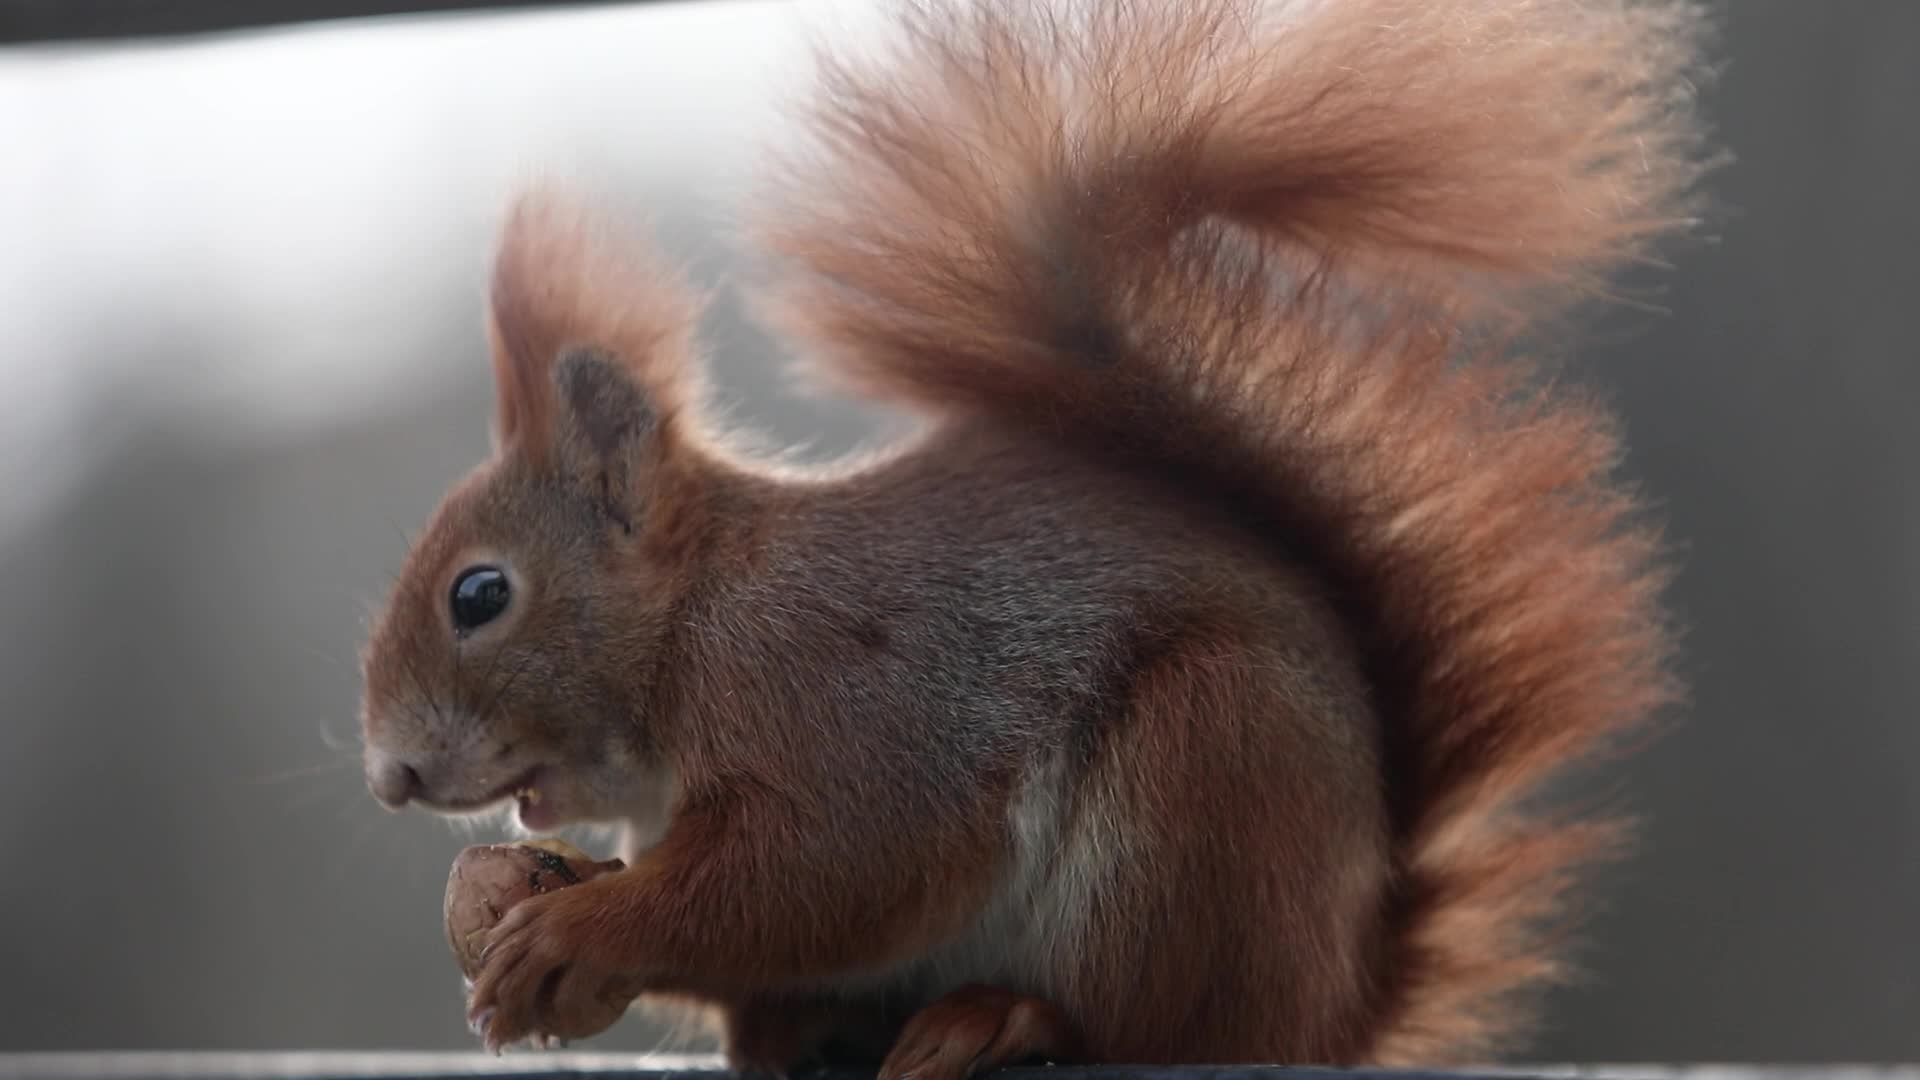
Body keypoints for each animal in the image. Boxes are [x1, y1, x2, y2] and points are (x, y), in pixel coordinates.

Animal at [358, 0, 1714, 1074]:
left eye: (480, 596)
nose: (391, 777)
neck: (695, 622)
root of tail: (1335, 1003)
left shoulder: (844, 705)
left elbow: (820, 871)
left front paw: (580, 932)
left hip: (1202, 781)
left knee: (1154, 1025)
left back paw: (1006, 1020)